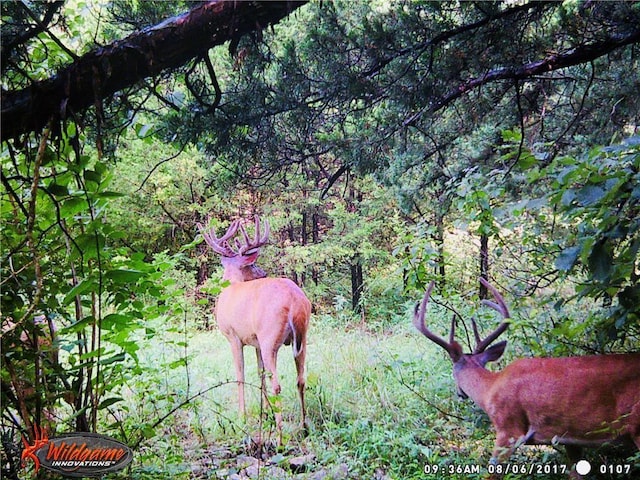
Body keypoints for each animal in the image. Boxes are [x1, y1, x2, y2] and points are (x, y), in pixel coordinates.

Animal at [199, 216, 312, 440]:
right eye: (252, 265)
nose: (263, 272)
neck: (230, 286)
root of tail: (295, 301)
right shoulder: (256, 341)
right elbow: (260, 375)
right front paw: (265, 411)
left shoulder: (233, 336)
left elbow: (240, 374)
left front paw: (241, 416)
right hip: (302, 338)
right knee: (300, 379)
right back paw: (304, 427)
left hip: (270, 336)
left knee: (277, 384)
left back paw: (279, 436)